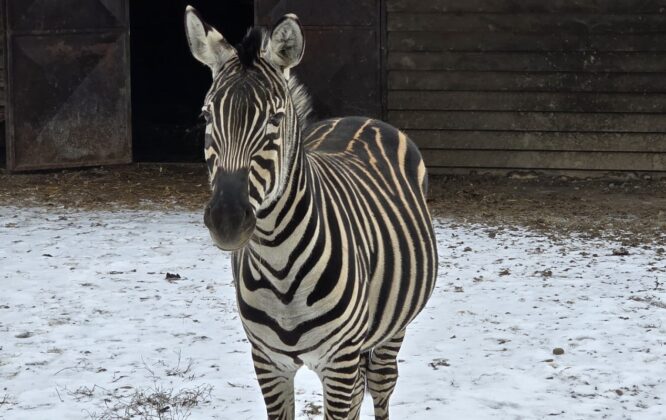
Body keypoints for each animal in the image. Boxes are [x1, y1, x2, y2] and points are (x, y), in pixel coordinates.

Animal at [184, 6, 438, 419]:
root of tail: (361, 118)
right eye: (207, 117)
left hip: (390, 331)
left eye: (275, 119)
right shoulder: (268, 362)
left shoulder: (339, 362)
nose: (227, 221)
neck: (279, 265)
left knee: (380, 387)